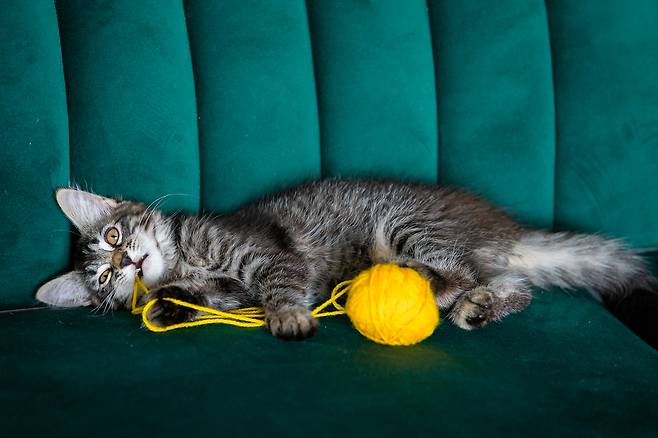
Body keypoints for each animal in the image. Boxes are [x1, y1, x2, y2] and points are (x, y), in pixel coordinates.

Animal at [37, 180, 656, 340]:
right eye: (104, 277)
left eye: (114, 234)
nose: (129, 265)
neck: (185, 260)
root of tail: (501, 229)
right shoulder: (225, 292)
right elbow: (189, 299)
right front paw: (165, 305)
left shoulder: (267, 257)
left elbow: (280, 288)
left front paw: (289, 318)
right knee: (512, 288)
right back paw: (477, 308)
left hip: (403, 225)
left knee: (458, 272)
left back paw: (430, 288)